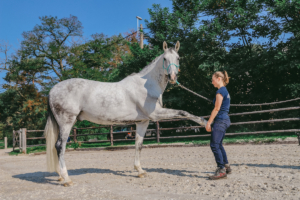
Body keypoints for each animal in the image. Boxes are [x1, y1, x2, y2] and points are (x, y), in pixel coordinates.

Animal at [44, 41, 207, 187]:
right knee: (60, 146)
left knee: (55, 147)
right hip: (67, 122)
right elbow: (183, 112)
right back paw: (67, 179)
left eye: (178, 58)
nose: (173, 78)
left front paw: (140, 171)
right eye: (165, 58)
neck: (147, 87)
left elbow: (138, 144)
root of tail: (52, 90)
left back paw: (60, 176)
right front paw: (204, 123)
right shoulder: (156, 114)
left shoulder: (143, 122)